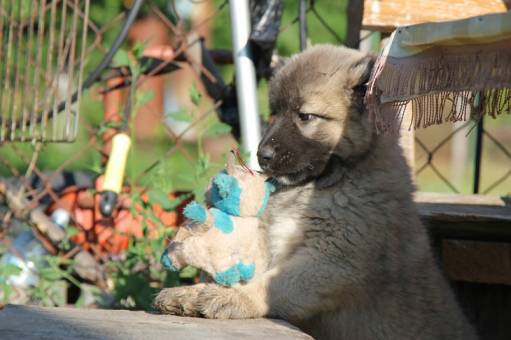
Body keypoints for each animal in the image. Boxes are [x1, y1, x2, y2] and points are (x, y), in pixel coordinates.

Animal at [154, 45, 478, 340]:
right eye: (274, 113)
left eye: (305, 116)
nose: (262, 155)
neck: (326, 181)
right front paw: (191, 293)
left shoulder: (332, 259)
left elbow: (270, 286)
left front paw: (229, 297)